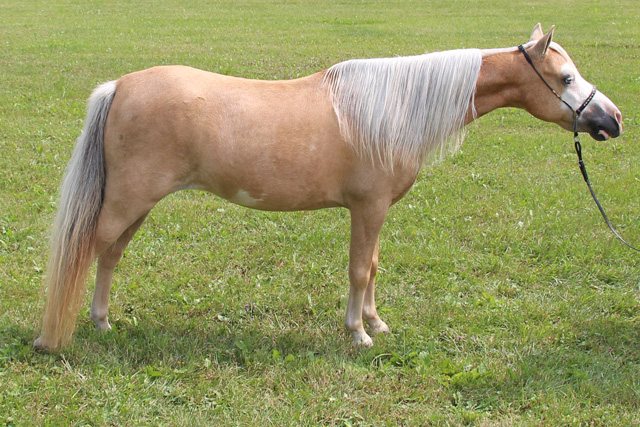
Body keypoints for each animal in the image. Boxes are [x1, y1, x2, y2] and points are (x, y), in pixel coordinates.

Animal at [34, 24, 622, 352]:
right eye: (566, 78)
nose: (612, 119)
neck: (395, 107)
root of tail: (120, 86)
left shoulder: (377, 212)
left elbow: (375, 267)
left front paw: (376, 323)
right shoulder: (367, 208)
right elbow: (360, 269)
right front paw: (357, 334)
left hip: (136, 206)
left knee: (109, 256)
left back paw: (102, 323)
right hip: (125, 202)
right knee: (83, 252)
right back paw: (51, 338)